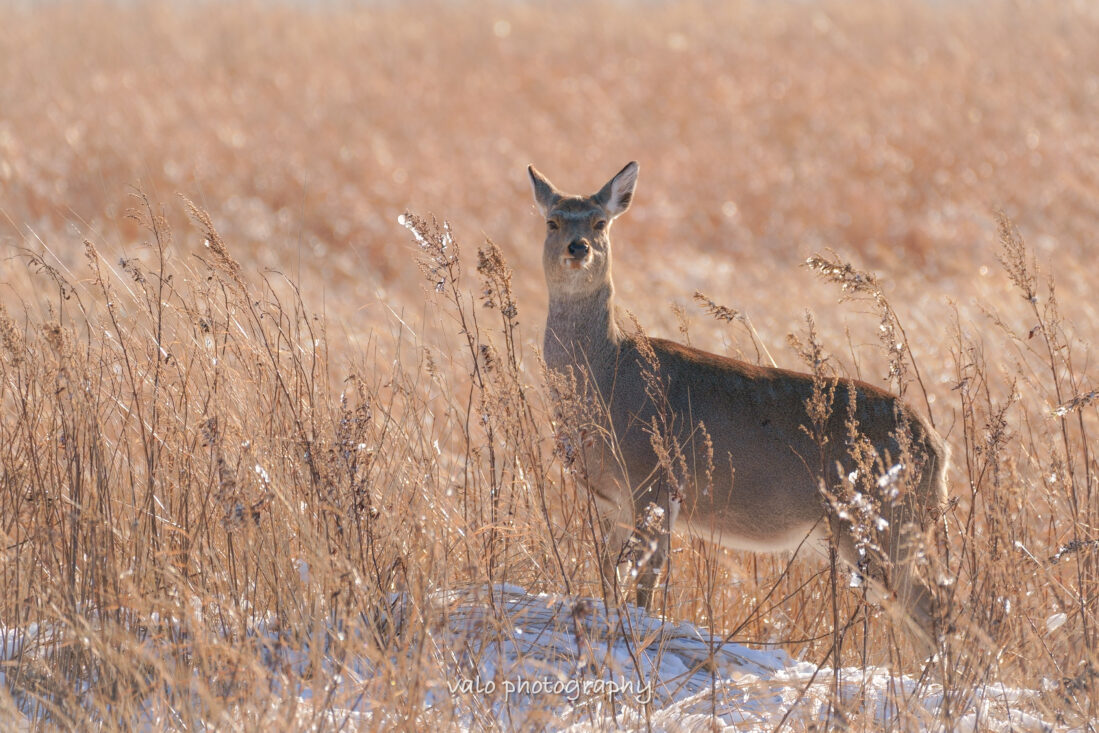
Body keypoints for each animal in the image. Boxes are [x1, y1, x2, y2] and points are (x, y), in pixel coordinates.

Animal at [527, 161, 949, 659]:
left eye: (599, 222)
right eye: (553, 221)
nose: (579, 248)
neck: (608, 376)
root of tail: (937, 447)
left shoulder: (655, 480)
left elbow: (646, 583)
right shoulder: (612, 501)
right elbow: (608, 575)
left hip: (880, 516)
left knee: (934, 609)